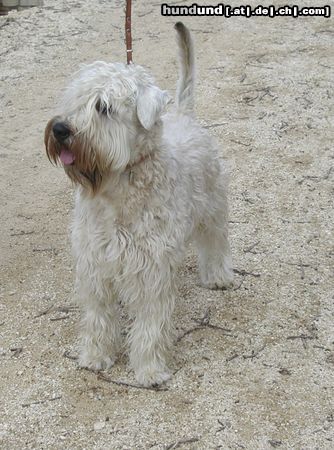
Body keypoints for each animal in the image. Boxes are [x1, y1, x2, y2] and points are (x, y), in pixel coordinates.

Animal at [43, 22, 232, 386]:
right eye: (74, 100)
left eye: (103, 107)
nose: (60, 128)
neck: (117, 188)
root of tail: (183, 115)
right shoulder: (95, 263)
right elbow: (98, 316)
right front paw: (96, 356)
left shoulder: (152, 269)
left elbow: (150, 325)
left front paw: (149, 369)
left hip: (213, 208)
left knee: (215, 243)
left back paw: (218, 276)